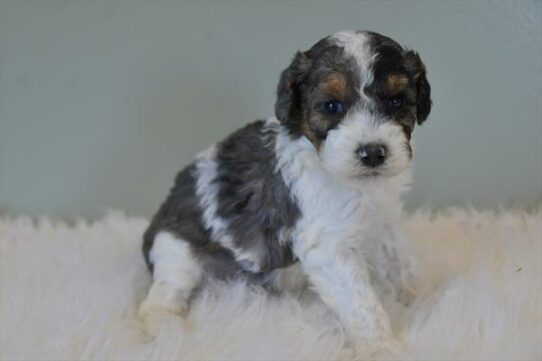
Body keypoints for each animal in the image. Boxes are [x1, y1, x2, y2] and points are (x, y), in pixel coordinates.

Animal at [140, 31, 434, 346]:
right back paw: (164, 327)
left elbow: (400, 260)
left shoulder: (384, 220)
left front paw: (425, 296)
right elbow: (362, 305)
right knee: (160, 297)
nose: (373, 153)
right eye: (332, 106)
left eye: (396, 101)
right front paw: (381, 346)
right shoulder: (328, 249)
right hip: (177, 253)